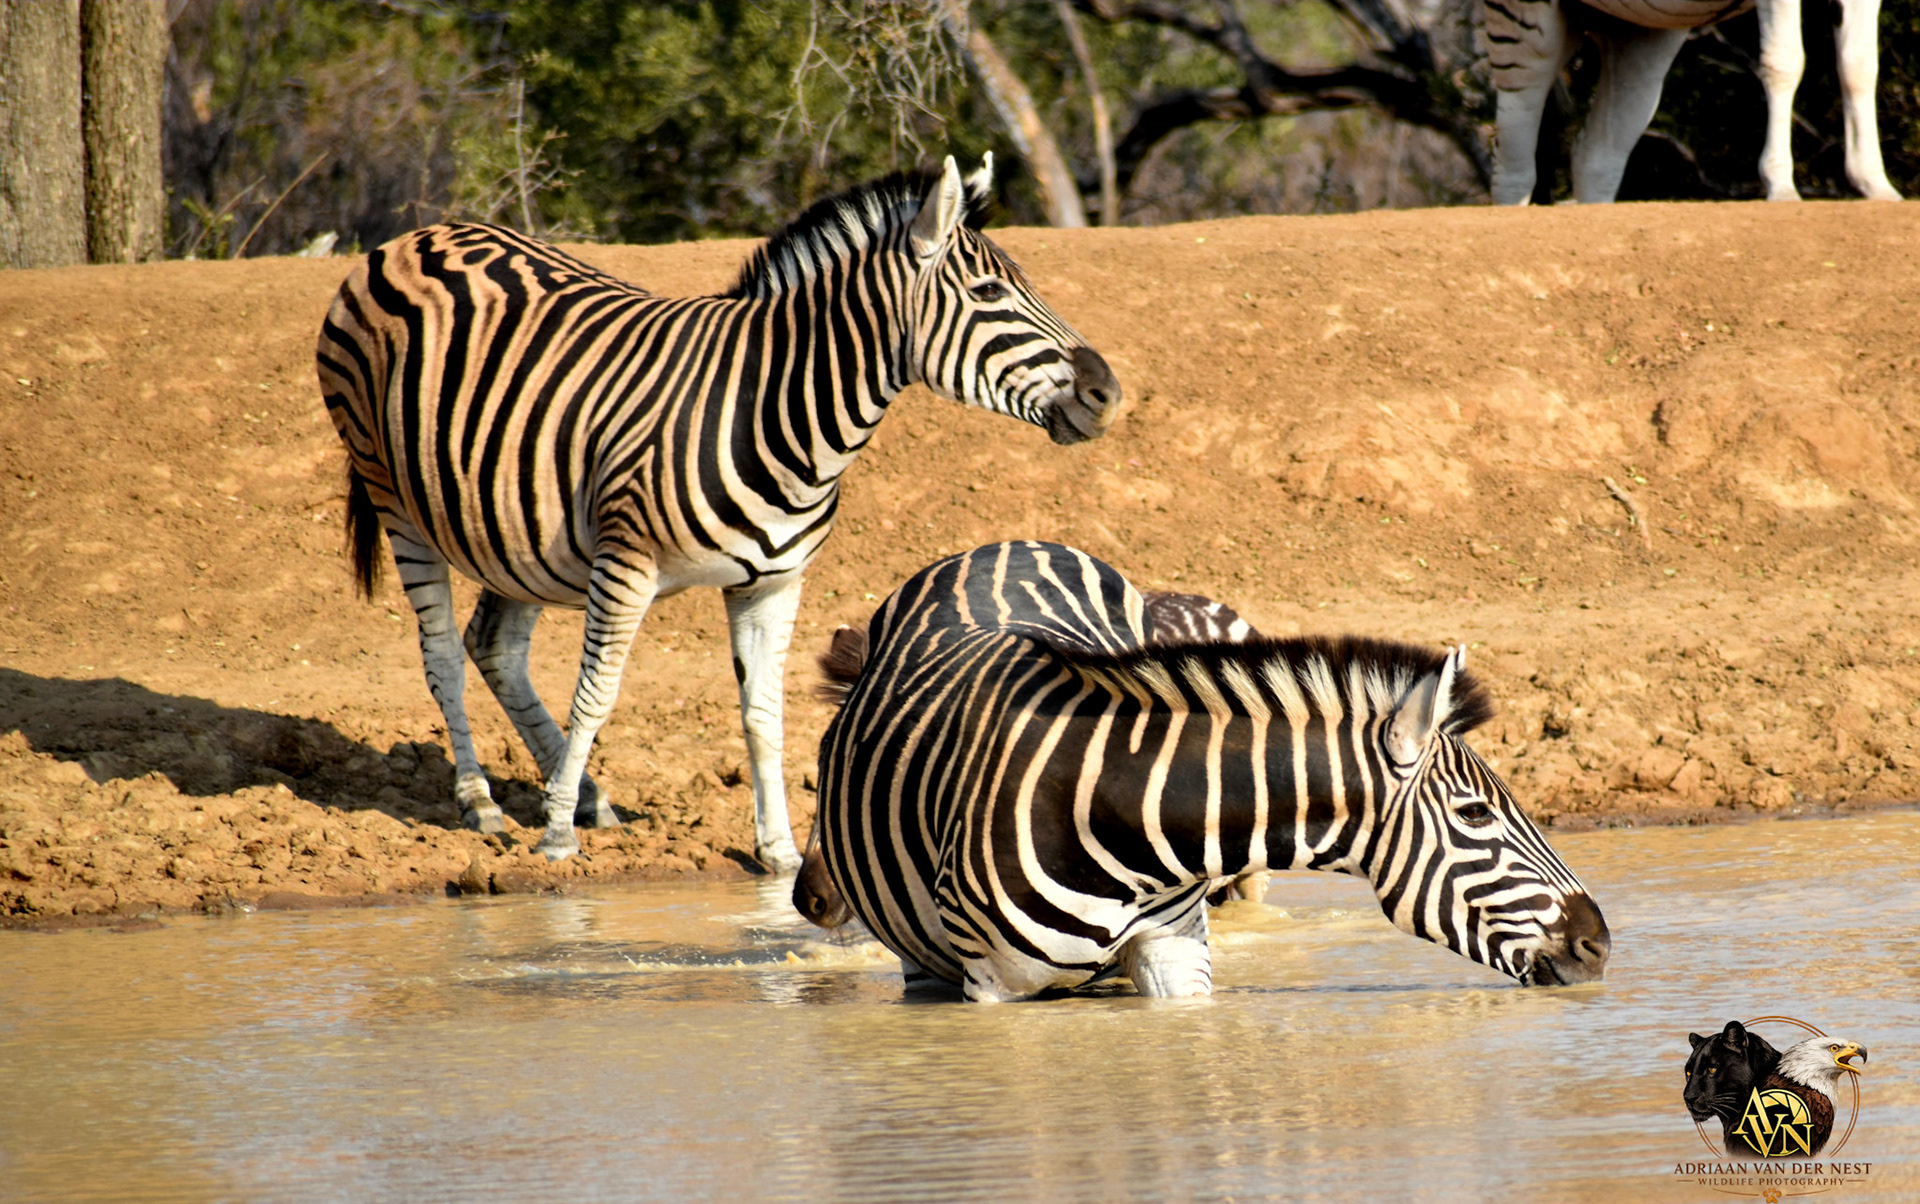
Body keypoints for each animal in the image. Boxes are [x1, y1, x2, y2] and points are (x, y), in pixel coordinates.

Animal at [314, 156, 1122, 867]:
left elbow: (765, 714)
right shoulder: (625, 565)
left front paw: (780, 850)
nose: (1107, 394)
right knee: (444, 656)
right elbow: (597, 696)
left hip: (515, 530)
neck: (779, 410)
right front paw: (556, 838)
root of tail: (413, 237)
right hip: (394, 495)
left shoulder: (774, 583)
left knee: (495, 646)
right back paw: (483, 802)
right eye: (988, 293)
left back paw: (585, 795)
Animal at [812, 542, 1611, 1001]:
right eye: (1475, 813)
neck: (1118, 813)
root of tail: (1004, 545)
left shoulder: (1176, 957)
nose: (1599, 944)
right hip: (921, 958)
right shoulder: (993, 988)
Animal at [1482, 0, 1900, 203]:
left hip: (1639, 33)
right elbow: (1784, 61)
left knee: (1595, 158)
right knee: (1513, 168)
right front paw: (1780, 185)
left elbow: (1860, 65)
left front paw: (1875, 185)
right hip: (1528, 26)